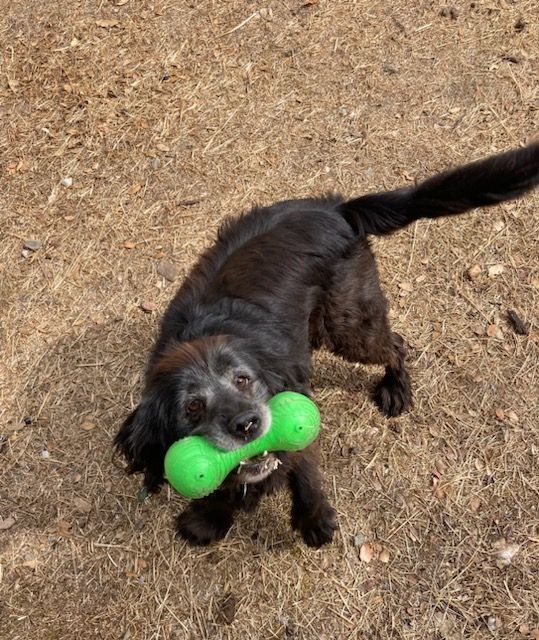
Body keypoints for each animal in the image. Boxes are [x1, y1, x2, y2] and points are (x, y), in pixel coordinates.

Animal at [115, 142, 539, 548]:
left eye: (243, 380)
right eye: (192, 407)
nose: (247, 423)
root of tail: (337, 209)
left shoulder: (296, 418)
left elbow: (305, 474)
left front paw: (313, 521)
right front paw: (210, 517)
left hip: (348, 327)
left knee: (395, 344)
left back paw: (396, 388)